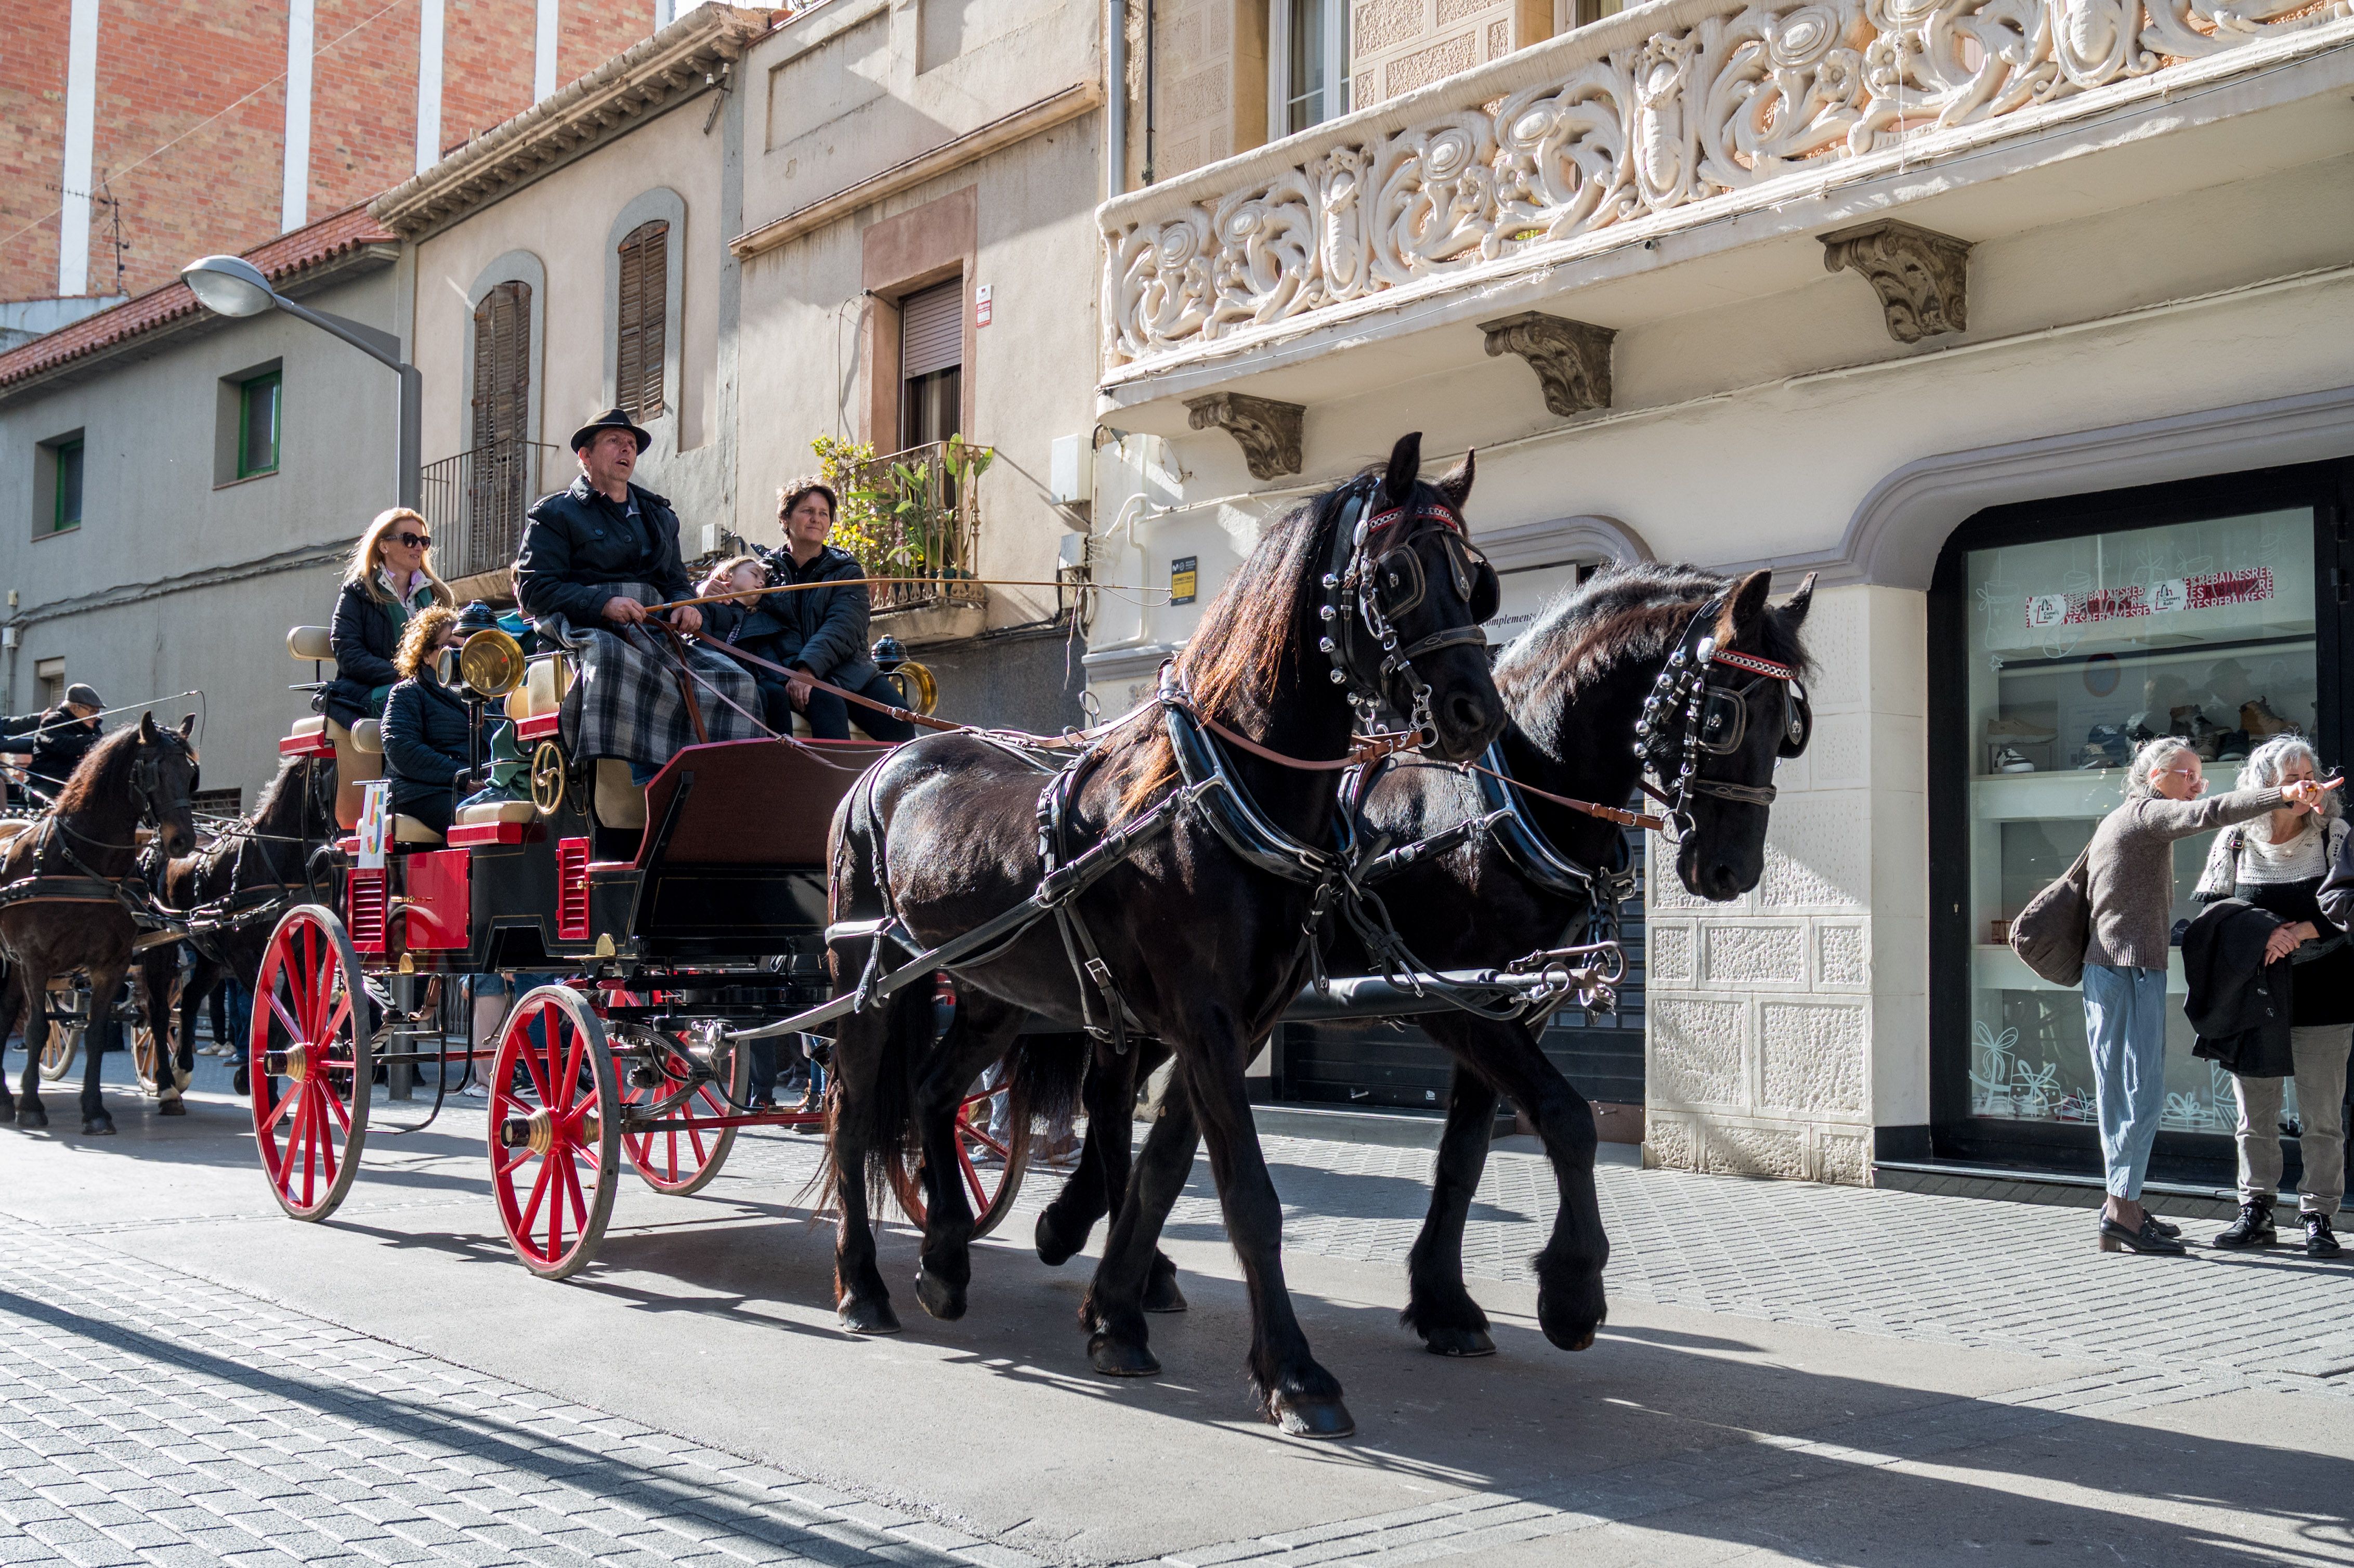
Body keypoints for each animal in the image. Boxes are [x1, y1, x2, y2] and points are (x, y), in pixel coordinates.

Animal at [0, 715, 200, 1130]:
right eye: (152, 772)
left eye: (191, 774)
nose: (183, 842)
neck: (83, 863)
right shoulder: (35, 959)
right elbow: (38, 1028)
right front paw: (32, 1105)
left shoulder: (112, 962)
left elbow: (95, 1032)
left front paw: (94, 1110)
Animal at [139, 749, 344, 1092]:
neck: (276, 863)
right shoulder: (246, 959)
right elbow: (272, 1017)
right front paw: (260, 1079)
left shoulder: (303, 959)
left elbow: (286, 1020)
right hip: (158, 944)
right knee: (159, 1009)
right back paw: (166, 1080)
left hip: (211, 957)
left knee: (191, 998)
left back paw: (183, 1067)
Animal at [819, 428, 1497, 1431]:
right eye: (1397, 575)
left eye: (1476, 578)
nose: (1475, 712)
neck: (1221, 790)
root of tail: (884, 764)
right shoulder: (1203, 1018)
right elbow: (1247, 1194)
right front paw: (1295, 1374)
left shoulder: (1233, 1024)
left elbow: (1162, 1168)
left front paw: (1116, 1316)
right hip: (867, 986)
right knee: (854, 1113)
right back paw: (862, 1285)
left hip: (991, 993)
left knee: (937, 1093)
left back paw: (943, 1261)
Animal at [1031, 558, 1817, 1356]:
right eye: (1723, 717)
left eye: (1793, 731)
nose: (1733, 871)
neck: (1495, 805)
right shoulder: (1452, 1001)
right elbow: (1569, 1117)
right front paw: (1571, 1290)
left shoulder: (1509, 1007)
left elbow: (1464, 1152)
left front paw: (1443, 1299)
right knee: (1108, 1097)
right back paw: (1115, 1253)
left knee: (1114, 1098)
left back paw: (1091, 1233)